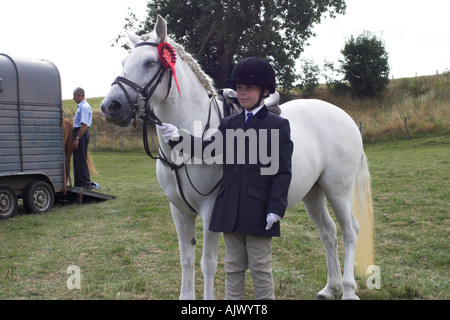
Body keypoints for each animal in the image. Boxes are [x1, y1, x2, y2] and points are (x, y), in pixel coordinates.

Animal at [100, 15, 374, 300]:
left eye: (150, 62)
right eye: (124, 62)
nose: (110, 107)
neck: (188, 145)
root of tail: (344, 116)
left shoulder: (211, 209)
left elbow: (207, 262)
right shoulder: (179, 210)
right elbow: (186, 259)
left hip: (337, 189)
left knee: (350, 231)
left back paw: (348, 290)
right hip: (314, 192)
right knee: (328, 231)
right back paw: (331, 287)